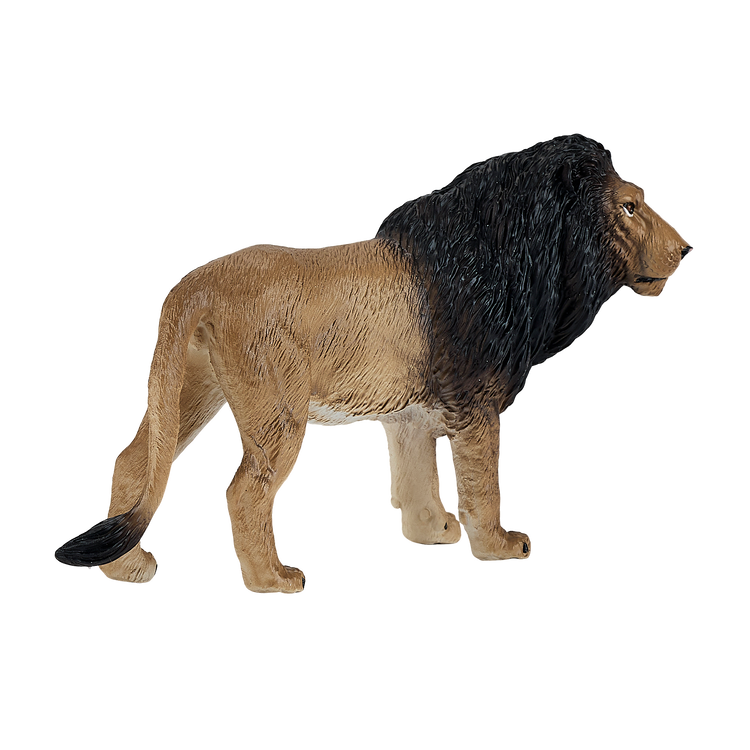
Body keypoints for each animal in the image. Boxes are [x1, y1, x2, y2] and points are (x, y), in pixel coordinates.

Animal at [53, 132, 694, 595]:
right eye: (629, 207)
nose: (687, 249)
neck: (505, 255)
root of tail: (196, 283)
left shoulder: (413, 412)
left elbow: (415, 476)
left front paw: (432, 533)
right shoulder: (478, 403)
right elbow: (483, 483)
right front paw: (498, 546)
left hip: (191, 389)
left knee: (133, 461)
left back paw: (126, 569)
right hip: (274, 415)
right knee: (244, 493)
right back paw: (272, 581)